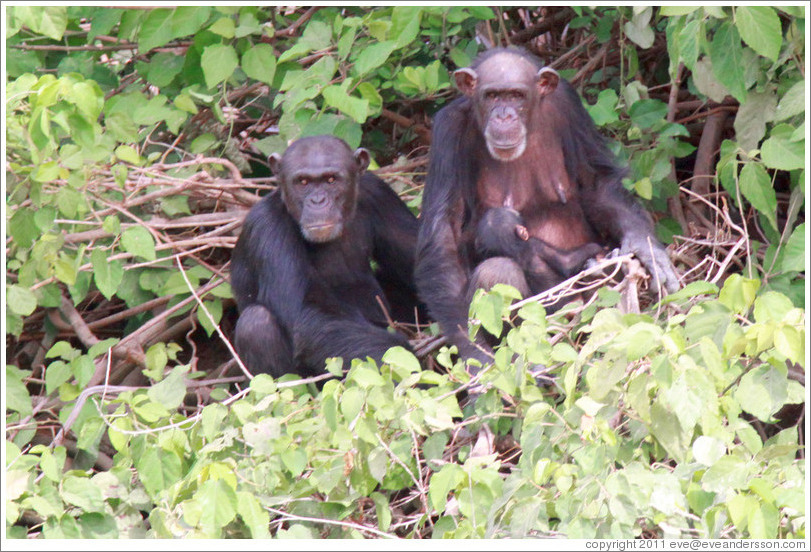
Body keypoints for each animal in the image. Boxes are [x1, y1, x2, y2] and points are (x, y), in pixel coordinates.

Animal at [228, 135, 418, 378]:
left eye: (331, 180)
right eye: (303, 182)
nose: (317, 201)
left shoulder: (379, 194)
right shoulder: (267, 227)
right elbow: (306, 315)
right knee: (256, 323)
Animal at [416, 48, 680, 366]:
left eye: (516, 95)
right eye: (492, 96)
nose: (504, 115)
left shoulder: (569, 105)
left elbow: (595, 185)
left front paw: (646, 248)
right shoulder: (447, 131)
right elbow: (445, 232)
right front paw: (475, 354)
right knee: (496, 272)